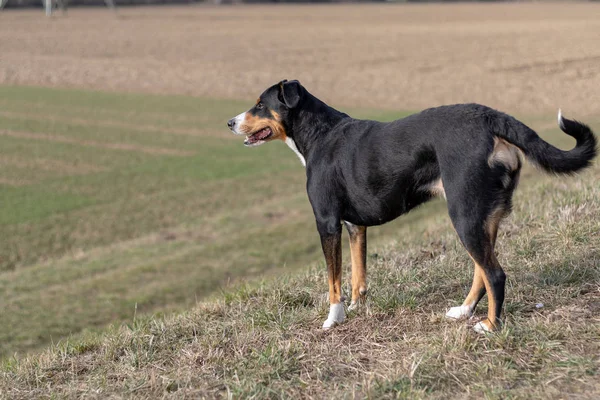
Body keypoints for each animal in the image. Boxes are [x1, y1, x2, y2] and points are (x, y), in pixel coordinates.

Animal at [226, 79, 596, 332]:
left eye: (260, 105)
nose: (230, 122)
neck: (319, 134)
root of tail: (489, 117)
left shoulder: (327, 222)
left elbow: (333, 281)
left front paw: (333, 319)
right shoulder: (354, 226)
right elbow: (357, 275)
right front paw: (357, 308)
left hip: (464, 214)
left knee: (495, 273)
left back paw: (490, 326)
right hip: (483, 216)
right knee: (483, 270)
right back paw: (464, 312)